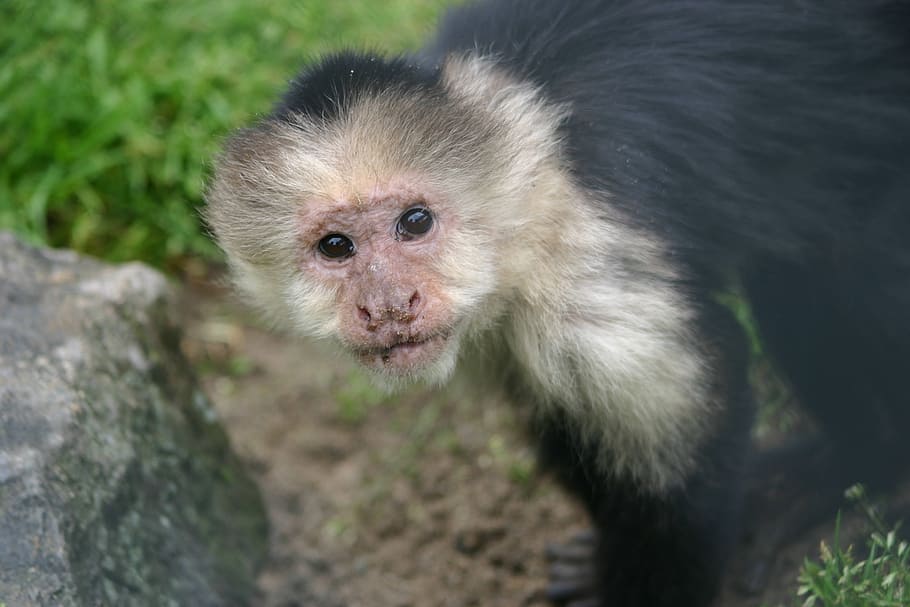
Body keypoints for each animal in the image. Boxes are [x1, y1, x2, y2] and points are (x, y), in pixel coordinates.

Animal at [204, 1, 910, 605]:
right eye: (335, 246)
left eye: (415, 222)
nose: (387, 305)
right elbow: (565, 417)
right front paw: (601, 559)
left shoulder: (583, 267)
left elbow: (690, 446)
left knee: (842, 279)